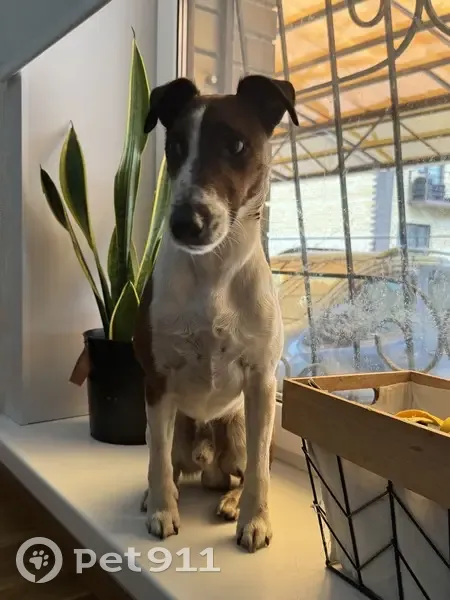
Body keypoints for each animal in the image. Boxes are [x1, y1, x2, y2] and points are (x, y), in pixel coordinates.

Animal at [133, 74, 299, 552]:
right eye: (175, 147)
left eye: (237, 145)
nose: (185, 223)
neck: (213, 270)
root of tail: (208, 464)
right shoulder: (156, 382)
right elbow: (156, 462)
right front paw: (162, 511)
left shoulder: (261, 383)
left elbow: (262, 471)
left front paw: (255, 520)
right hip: (170, 427)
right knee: (168, 462)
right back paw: (159, 495)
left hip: (239, 429)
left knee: (245, 471)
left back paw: (231, 501)